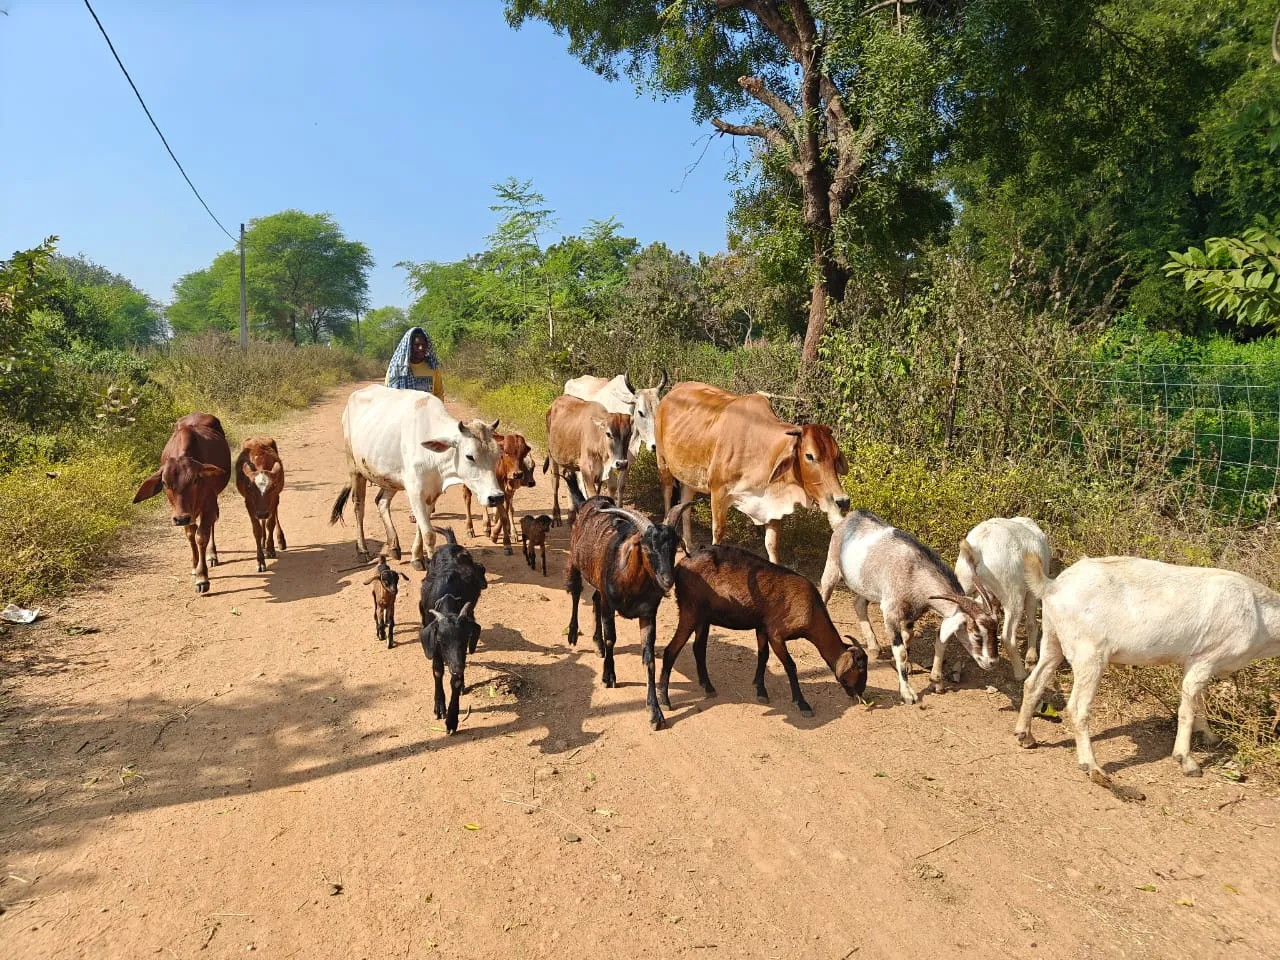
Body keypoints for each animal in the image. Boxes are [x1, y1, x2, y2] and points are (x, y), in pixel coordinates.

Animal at [132, 413, 231, 594]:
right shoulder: (182, 512)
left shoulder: (208, 505)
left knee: (212, 525)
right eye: (164, 483)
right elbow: (191, 535)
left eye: (195, 479)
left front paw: (202, 577)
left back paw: (212, 554)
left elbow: (201, 536)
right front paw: (194, 568)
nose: (181, 519)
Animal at [234, 437, 286, 573]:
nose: (262, 513)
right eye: (250, 488)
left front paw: (270, 549)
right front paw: (260, 561)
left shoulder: (274, 497)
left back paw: (279, 540)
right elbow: (256, 530)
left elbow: (270, 524)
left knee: (274, 516)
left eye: (272, 488)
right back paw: (263, 539)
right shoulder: (249, 503)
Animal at [330, 385, 504, 570]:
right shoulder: (414, 491)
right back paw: (362, 550)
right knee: (358, 507)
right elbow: (429, 533)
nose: (496, 497)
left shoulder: (432, 493)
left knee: (381, 502)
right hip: (355, 468)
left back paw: (393, 546)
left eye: (497, 456)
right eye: (469, 456)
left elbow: (421, 527)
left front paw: (416, 557)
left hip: (390, 478)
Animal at [543, 395, 632, 527]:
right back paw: (557, 516)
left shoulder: (602, 473)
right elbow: (593, 495)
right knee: (555, 482)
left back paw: (571, 516)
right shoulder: (586, 470)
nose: (621, 463)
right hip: (552, 455)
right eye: (608, 434)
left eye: (629, 434)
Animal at [654, 382, 849, 565]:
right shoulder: (718, 492)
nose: (842, 501)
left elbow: (772, 545)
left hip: (690, 476)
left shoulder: (773, 504)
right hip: (663, 462)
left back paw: (688, 544)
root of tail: (674, 390)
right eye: (809, 456)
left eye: (836, 456)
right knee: (667, 495)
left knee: (686, 503)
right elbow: (718, 533)